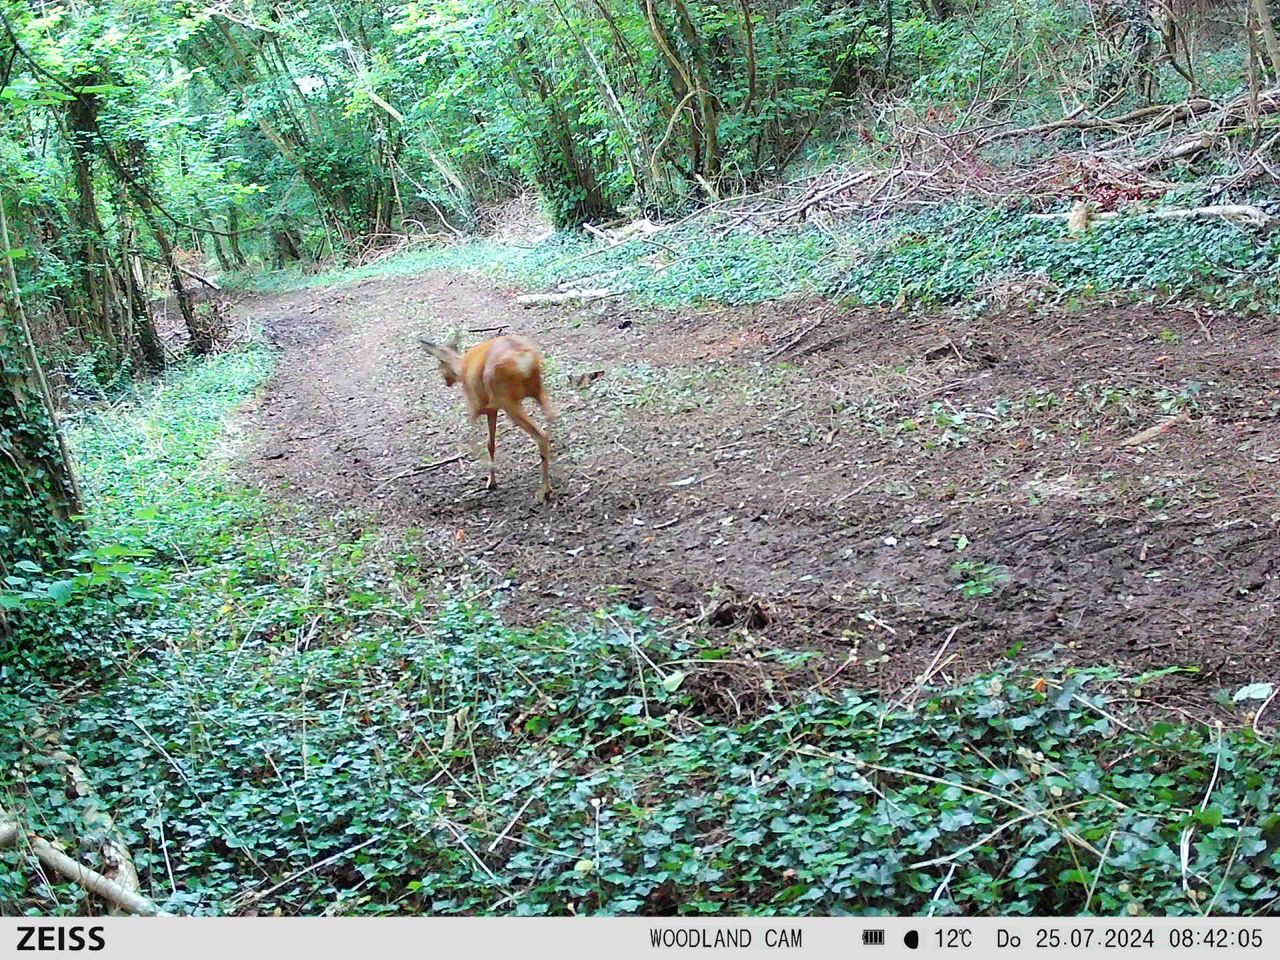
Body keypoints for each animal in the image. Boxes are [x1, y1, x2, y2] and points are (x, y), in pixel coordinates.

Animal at [418, 330, 556, 502]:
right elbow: (491, 443)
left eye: (439, 364)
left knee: (540, 435)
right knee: (551, 418)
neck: (462, 368)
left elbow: (473, 441)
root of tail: (522, 358)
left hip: (508, 401)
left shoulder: (476, 407)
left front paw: (489, 473)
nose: (447, 382)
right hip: (537, 389)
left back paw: (545, 491)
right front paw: (492, 481)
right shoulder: (492, 409)